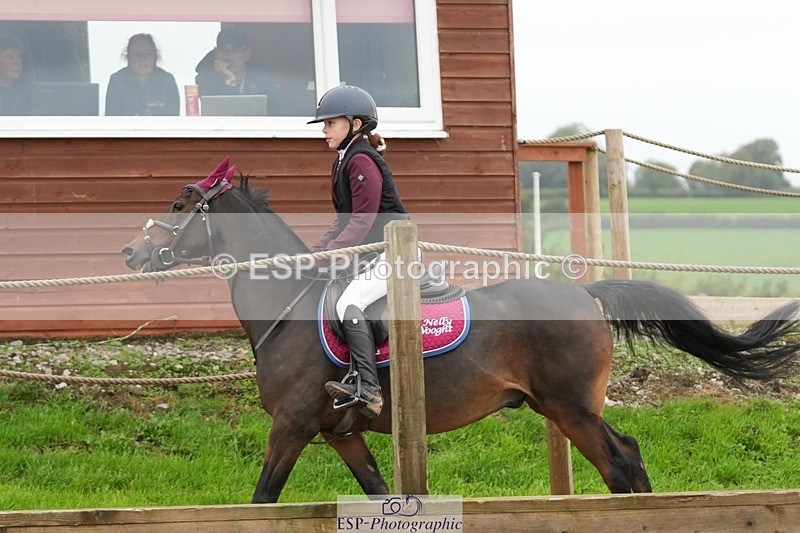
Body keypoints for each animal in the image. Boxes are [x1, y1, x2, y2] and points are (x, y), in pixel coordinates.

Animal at [121, 163, 800, 503]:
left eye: (179, 205)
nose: (130, 252)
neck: (285, 306)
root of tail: (584, 292)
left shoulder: (290, 424)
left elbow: (262, 500)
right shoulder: (339, 434)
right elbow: (378, 491)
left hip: (571, 405)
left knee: (620, 461)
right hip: (557, 405)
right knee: (625, 461)